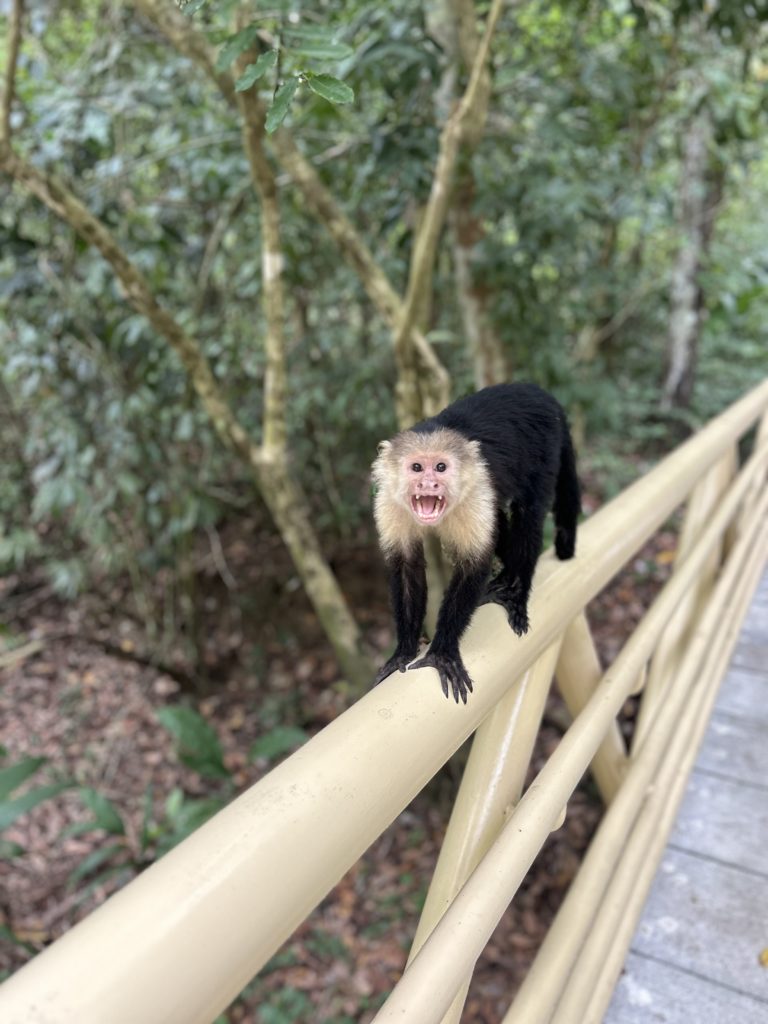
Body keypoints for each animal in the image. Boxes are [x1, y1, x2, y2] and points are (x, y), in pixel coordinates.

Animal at [371, 382, 580, 704]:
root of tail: (537, 391)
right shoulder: (389, 502)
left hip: (545, 445)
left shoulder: (476, 487)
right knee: (502, 519)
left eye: (441, 467)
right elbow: (406, 566)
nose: (429, 484)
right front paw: (403, 652)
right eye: (417, 467)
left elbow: (473, 565)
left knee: (528, 514)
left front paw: (442, 652)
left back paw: (516, 588)